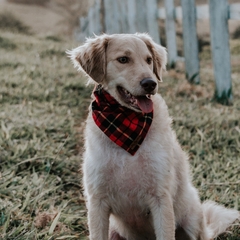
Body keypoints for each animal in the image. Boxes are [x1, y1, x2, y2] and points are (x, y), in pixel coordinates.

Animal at [67, 33, 238, 240]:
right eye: (123, 59)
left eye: (149, 60)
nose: (150, 83)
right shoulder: (97, 202)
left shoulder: (161, 199)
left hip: (191, 221)